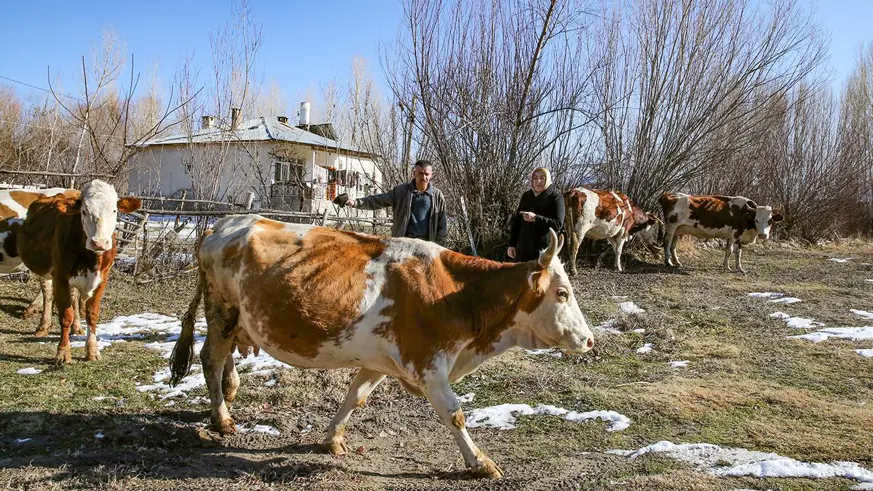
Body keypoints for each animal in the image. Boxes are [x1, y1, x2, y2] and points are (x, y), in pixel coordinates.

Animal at [14, 182, 141, 366]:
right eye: (84, 211)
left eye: (114, 210)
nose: (99, 242)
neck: (92, 258)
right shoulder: (60, 277)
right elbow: (65, 315)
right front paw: (62, 353)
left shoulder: (102, 280)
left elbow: (92, 314)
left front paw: (92, 351)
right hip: (45, 271)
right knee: (47, 294)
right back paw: (43, 326)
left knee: (73, 297)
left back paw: (76, 327)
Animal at [170, 214, 592, 476]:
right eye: (563, 293)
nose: (588, 340)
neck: (457, 295)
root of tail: (224, 223)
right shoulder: (430, 366)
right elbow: (454, 414)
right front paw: (480, 463)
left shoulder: (379, 361)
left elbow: (354, 398)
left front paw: (332, 438)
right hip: (221, 313)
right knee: (210, 358)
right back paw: (222, 417)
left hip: (234, 320)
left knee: (224, 359)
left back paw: (230, 391)